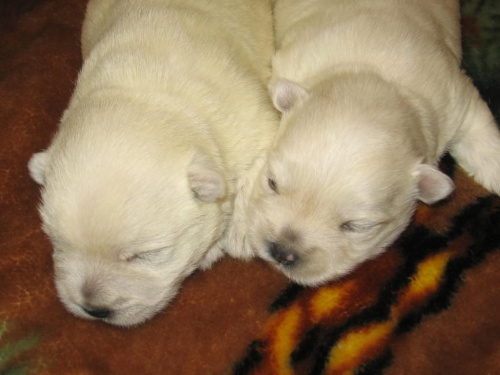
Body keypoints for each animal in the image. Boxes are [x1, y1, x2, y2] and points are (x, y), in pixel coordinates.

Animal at [28, 0, 278, 326]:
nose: (94, 309)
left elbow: (257, 165)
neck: (150, 95)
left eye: (144, 255)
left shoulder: (252, 118)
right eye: (57, 243)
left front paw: (240, 232)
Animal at [229, 0, 500, 284]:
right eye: (272, 183)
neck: (372, 75)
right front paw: (241, 228)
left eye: (356, 226)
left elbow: (483, 136)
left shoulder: (455, 99)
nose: (282, 251)